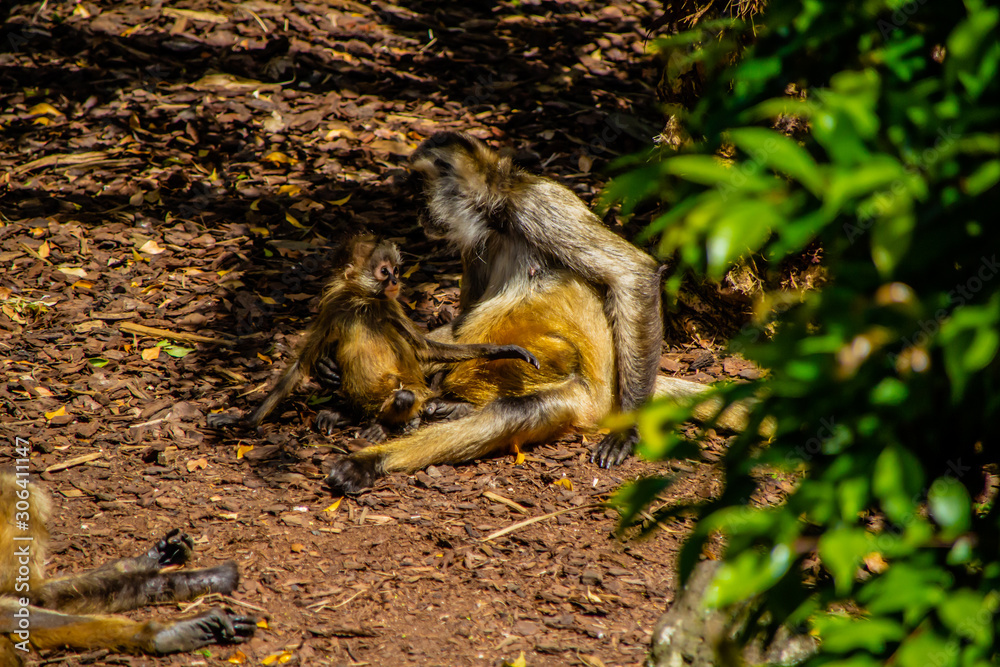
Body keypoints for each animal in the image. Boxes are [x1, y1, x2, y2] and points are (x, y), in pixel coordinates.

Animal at [207, 234, 540, 441]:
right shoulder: (335, 305)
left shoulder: (388, 306)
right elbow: (301, 364)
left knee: (406, 396)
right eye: (384, 271)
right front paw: (245, 421)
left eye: (395, 270)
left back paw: (385, 426)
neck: (363, 304)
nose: (394, 280)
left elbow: (426, 350)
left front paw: (502, 350)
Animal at [323, 132, 757, 494]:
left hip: (582, 400)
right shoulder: (478, 239)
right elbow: (462, 316)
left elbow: (632, 271)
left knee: (517, 403)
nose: (415, 209)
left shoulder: (538, 202)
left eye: (418, 187)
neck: (499, 214)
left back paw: (374, 456)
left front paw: (628, 431)